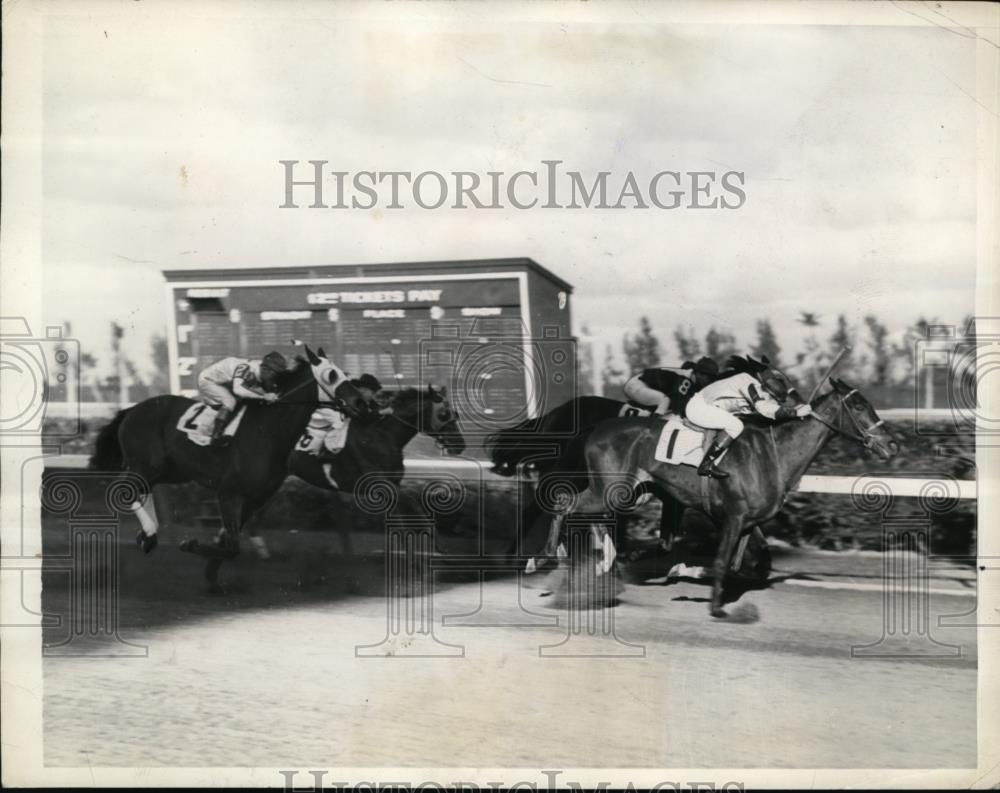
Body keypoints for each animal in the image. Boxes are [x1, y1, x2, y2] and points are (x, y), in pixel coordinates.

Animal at [90, 342, 370, 588]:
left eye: (344, 373)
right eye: (332, 375)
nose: (359, 403)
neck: (268, 430)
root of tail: (131, 410)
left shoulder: (257, 497)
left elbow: (229, 541)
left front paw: (211, 573)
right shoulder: (228, 492)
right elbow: (232, 545)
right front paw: (191, 546)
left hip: (169, 471)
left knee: (142, 490)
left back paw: (148, 535)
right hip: (147, 464)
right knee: (123, 489)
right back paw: (148, 532)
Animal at [540, 378, 900, 620]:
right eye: (859, 406)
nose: (893, 445)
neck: (774, 454)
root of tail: (595, 429)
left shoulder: (746, 522)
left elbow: (739, 564)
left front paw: (689, 575)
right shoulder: (733, 517)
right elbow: (722, 561)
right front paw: (715, 607)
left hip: (632, 493)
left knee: (583, 513)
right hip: (612, 489)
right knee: (566, 504)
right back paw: (552, 560)